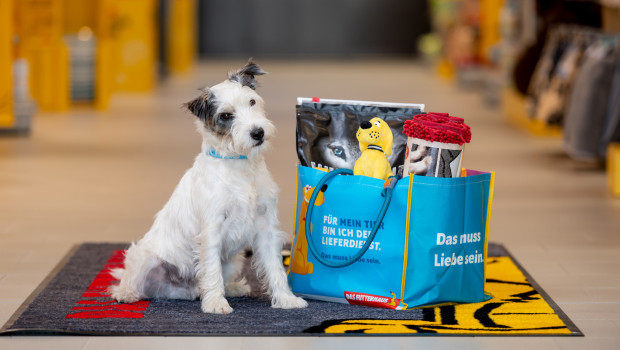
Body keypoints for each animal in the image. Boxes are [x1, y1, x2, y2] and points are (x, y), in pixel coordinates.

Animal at [110, 60, 308, 314]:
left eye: (251, 102)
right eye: (226, 115)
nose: (258, 133)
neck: (239, 163)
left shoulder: (266, 227)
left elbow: (275, 268)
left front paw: (286, 298)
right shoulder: (212, 229)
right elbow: (212, 269)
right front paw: (215, 303)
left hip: (234, 259)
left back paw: (232, 288)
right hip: (144, 258)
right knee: (131, 282)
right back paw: (125, 293)